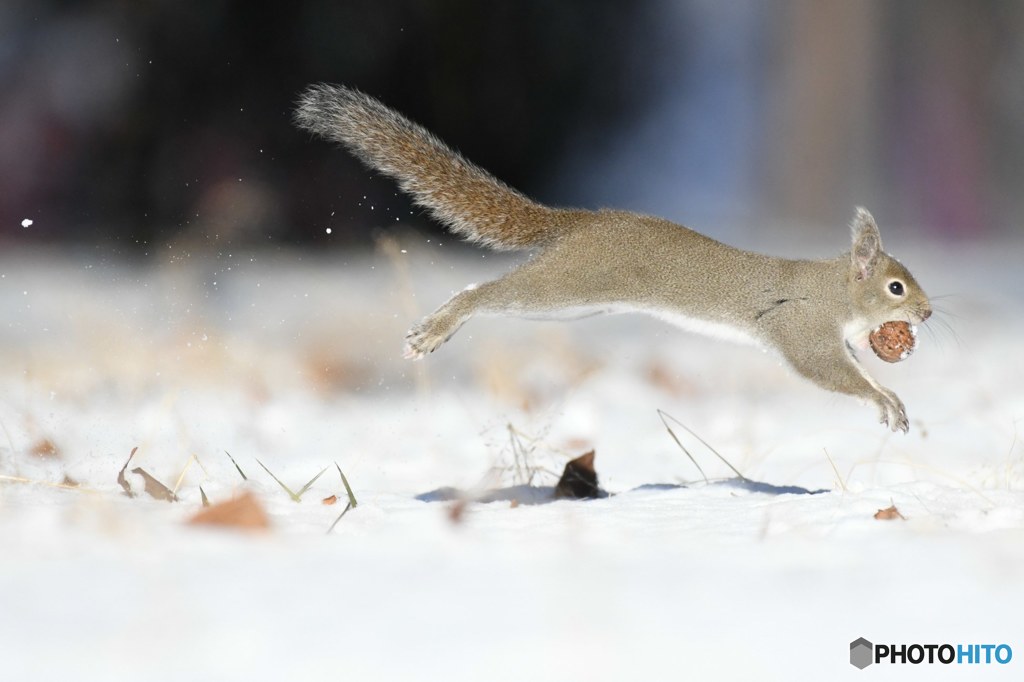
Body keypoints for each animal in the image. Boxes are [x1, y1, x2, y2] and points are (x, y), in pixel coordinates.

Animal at [292, 84, 933, 430]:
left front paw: (892, 396)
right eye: (896, 288)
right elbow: (826, 370)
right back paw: (436, 328)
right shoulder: (801, 327)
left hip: (574, 305)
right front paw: (884, 399)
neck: (836, 292)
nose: (926, 314)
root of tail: (580, 222)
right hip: (564, 288)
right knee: (484, 293)